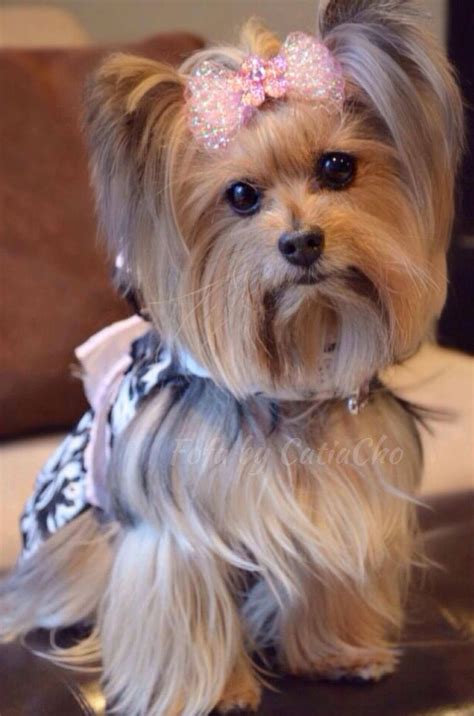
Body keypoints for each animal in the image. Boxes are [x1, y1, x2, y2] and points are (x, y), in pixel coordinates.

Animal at [0, 1, 462, 716]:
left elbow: (330, 574)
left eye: (337, 167)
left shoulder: (338, 491)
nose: (301, 242)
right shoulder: (172, 529)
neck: (294, 371)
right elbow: (182, 604)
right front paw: (217, 694)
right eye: (241, 196)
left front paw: (339, 655)